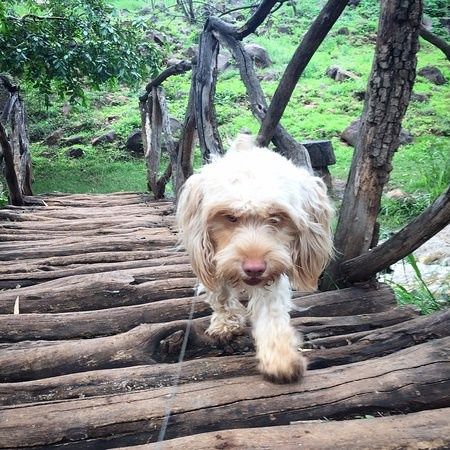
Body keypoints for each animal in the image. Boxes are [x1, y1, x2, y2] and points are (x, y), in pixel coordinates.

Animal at [177, 134, 334, 384]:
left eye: (277, 218)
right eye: (230, 217)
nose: (254, 268)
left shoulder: (273, 276)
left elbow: (272, 312)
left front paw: (280, 357)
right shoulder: (211, 261)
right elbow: (220, 295)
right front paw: (226, 322)